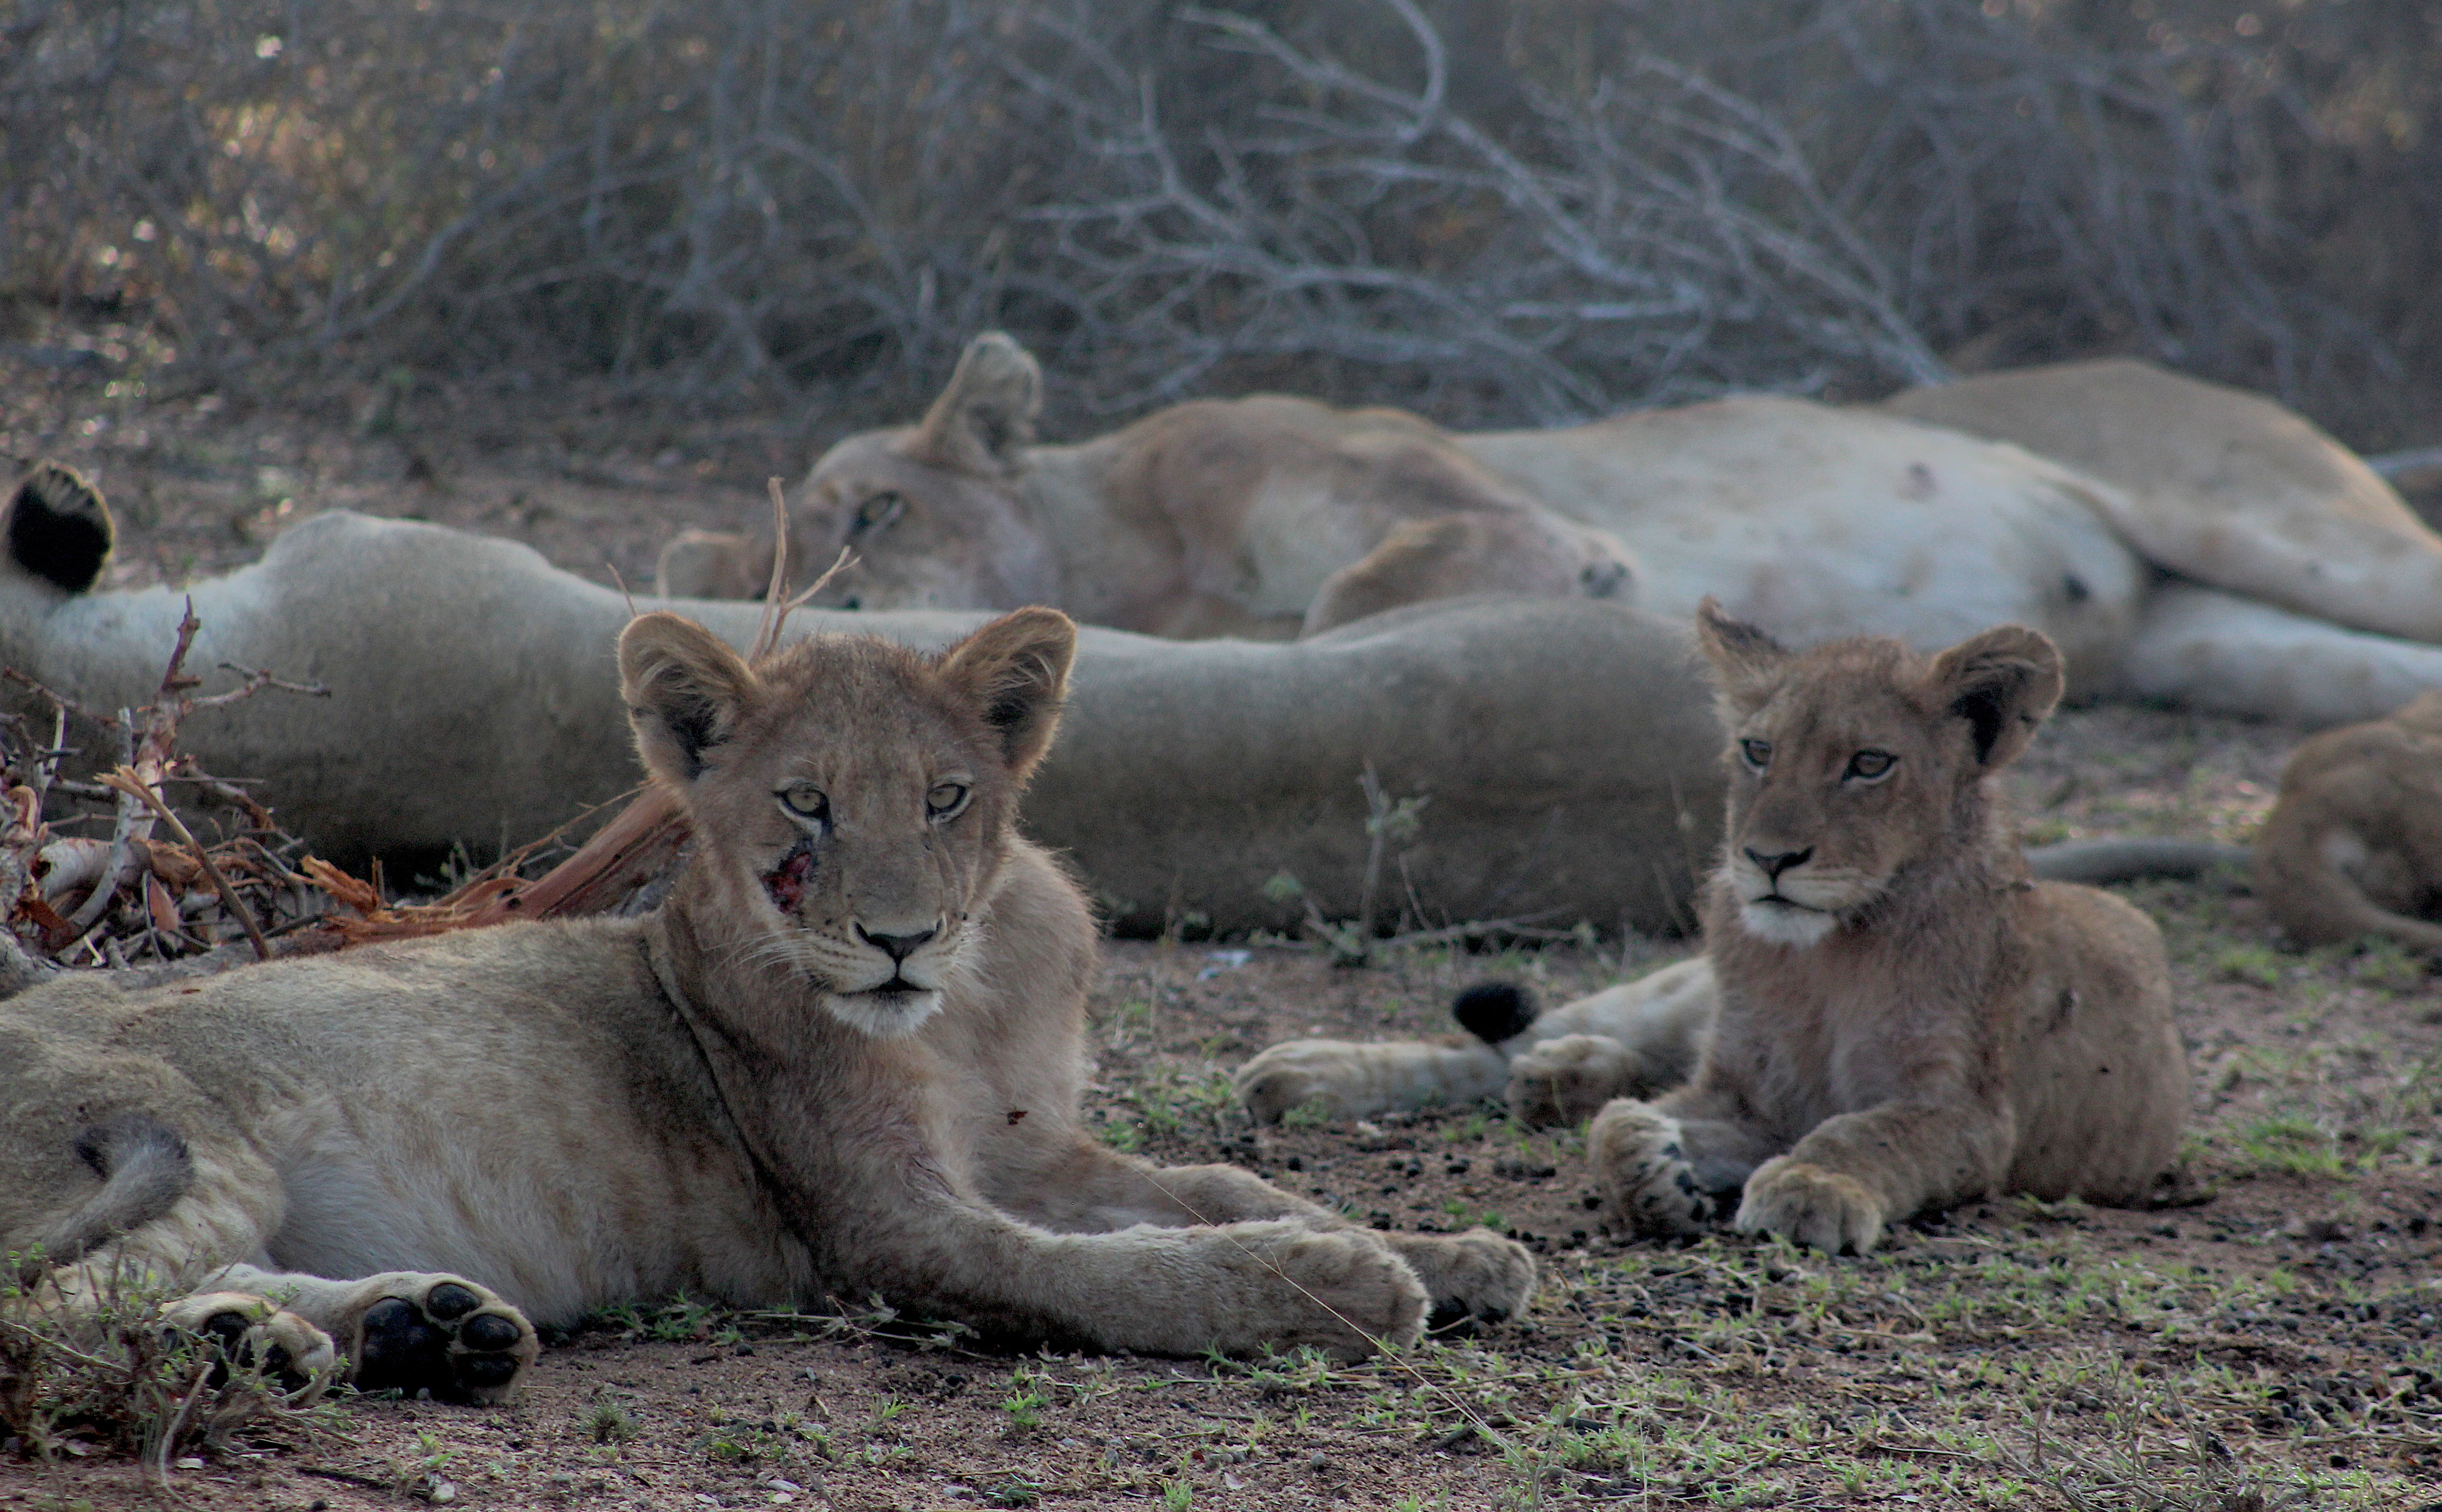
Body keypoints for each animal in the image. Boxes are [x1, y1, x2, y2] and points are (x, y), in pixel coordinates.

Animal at [0, 606, 1535, 1402]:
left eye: (946, 796)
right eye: (805, 802)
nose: (899, 939)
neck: (966, 1002)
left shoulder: (1024, 1144)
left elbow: (1212, 1184)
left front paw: (1454, 1248)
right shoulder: (886, 1226)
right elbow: (1117, 1271)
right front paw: (1344, 1281)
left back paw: (399, 1327)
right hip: (193, 1140)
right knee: (48, 1305)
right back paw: (272, 1342)